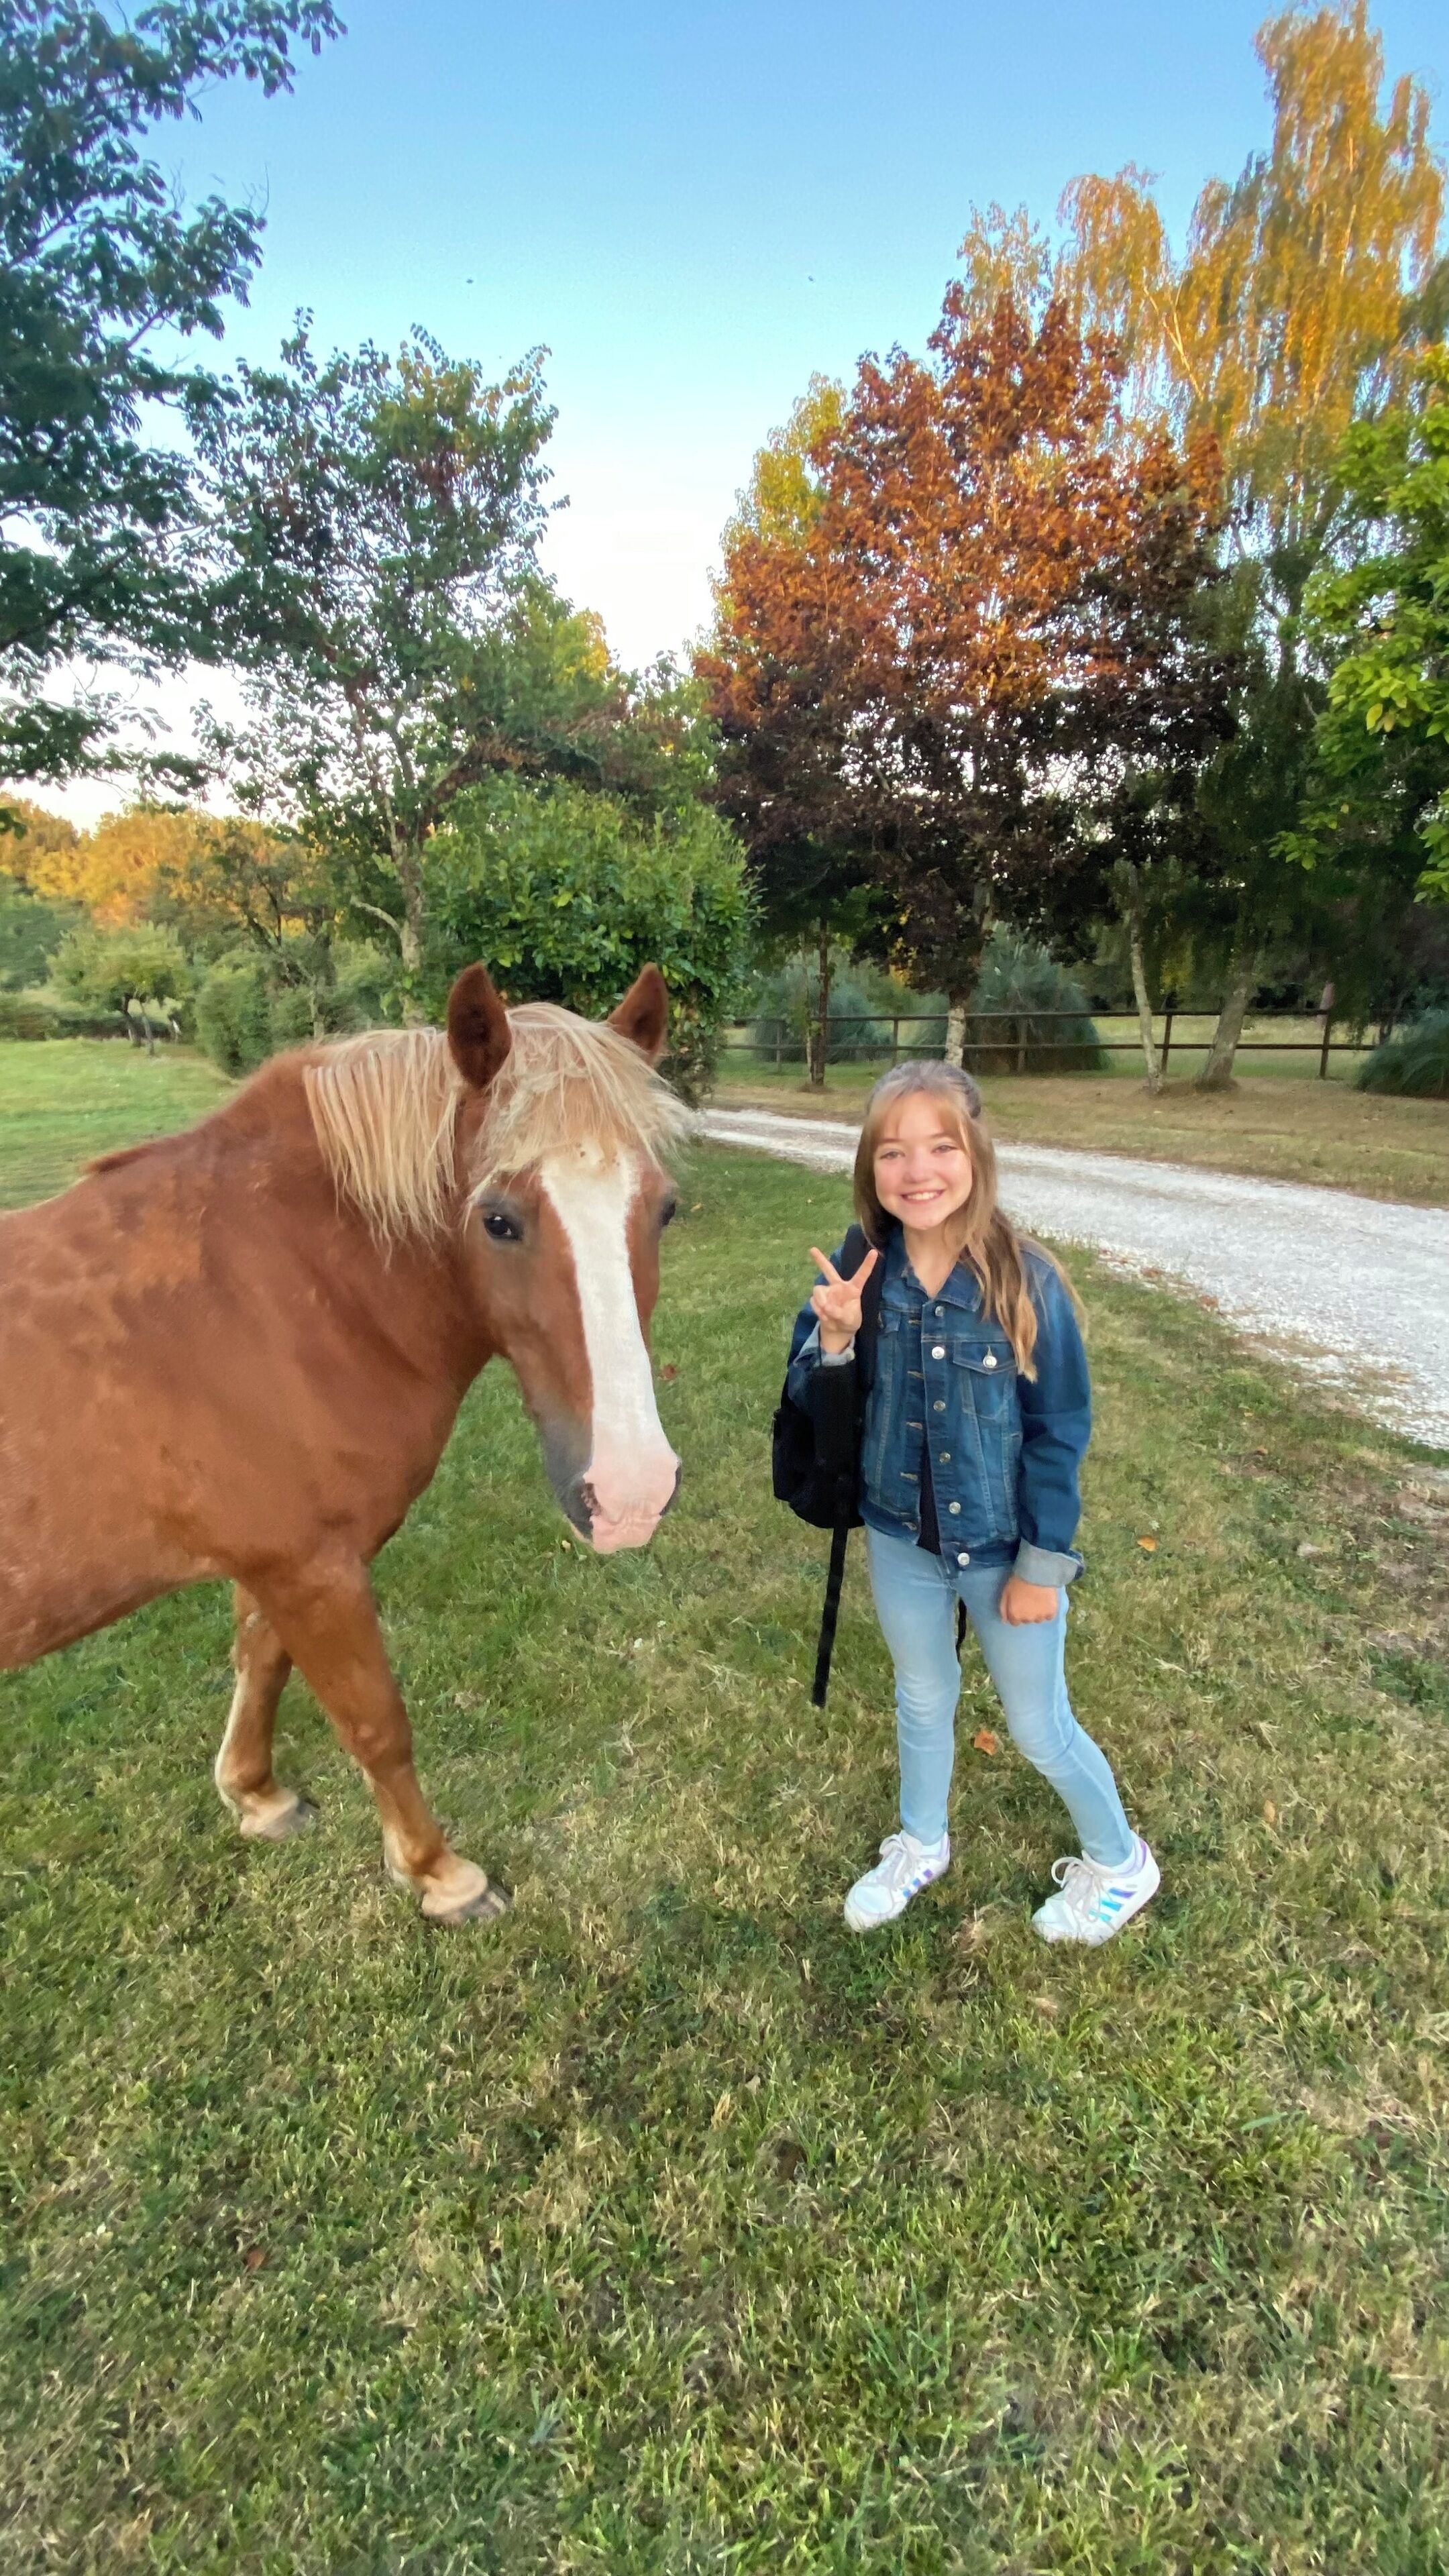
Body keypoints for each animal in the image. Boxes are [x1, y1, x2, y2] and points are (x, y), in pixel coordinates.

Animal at [0, 963, 684, 1924]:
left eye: (665, 1209)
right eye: (498, 1220)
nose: (632, 1494)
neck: (267, 1299)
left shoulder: (280, 1565)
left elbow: (260, 1662)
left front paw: (255, 1794)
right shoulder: (312, 1568)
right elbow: (375, 1722)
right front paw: (439, 1874)